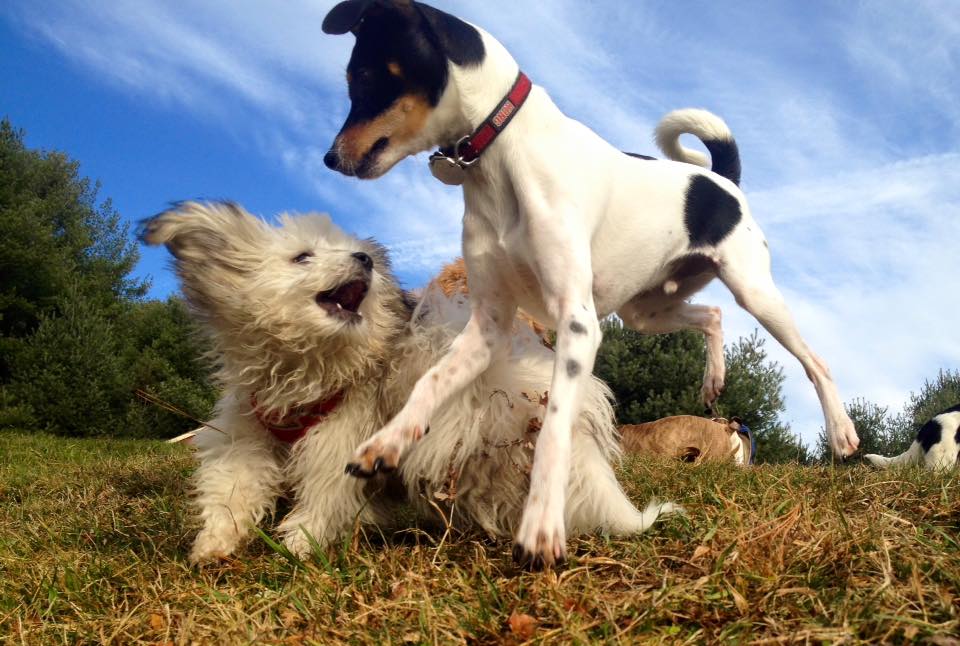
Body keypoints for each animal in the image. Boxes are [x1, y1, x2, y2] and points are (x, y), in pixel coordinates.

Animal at [318, 0, 860, 568]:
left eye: (363, 77)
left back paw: (842, 433)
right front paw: (386, 443)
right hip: (645, 312)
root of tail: (721, 180)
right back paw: (714, 379)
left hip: (752, 290)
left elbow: (554, 427)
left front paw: (541, 526)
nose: (330, 158)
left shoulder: (576, 324)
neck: (501, 154)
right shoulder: (488, 325)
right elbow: (431, 382)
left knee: (814, 361)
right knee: (713, 315)